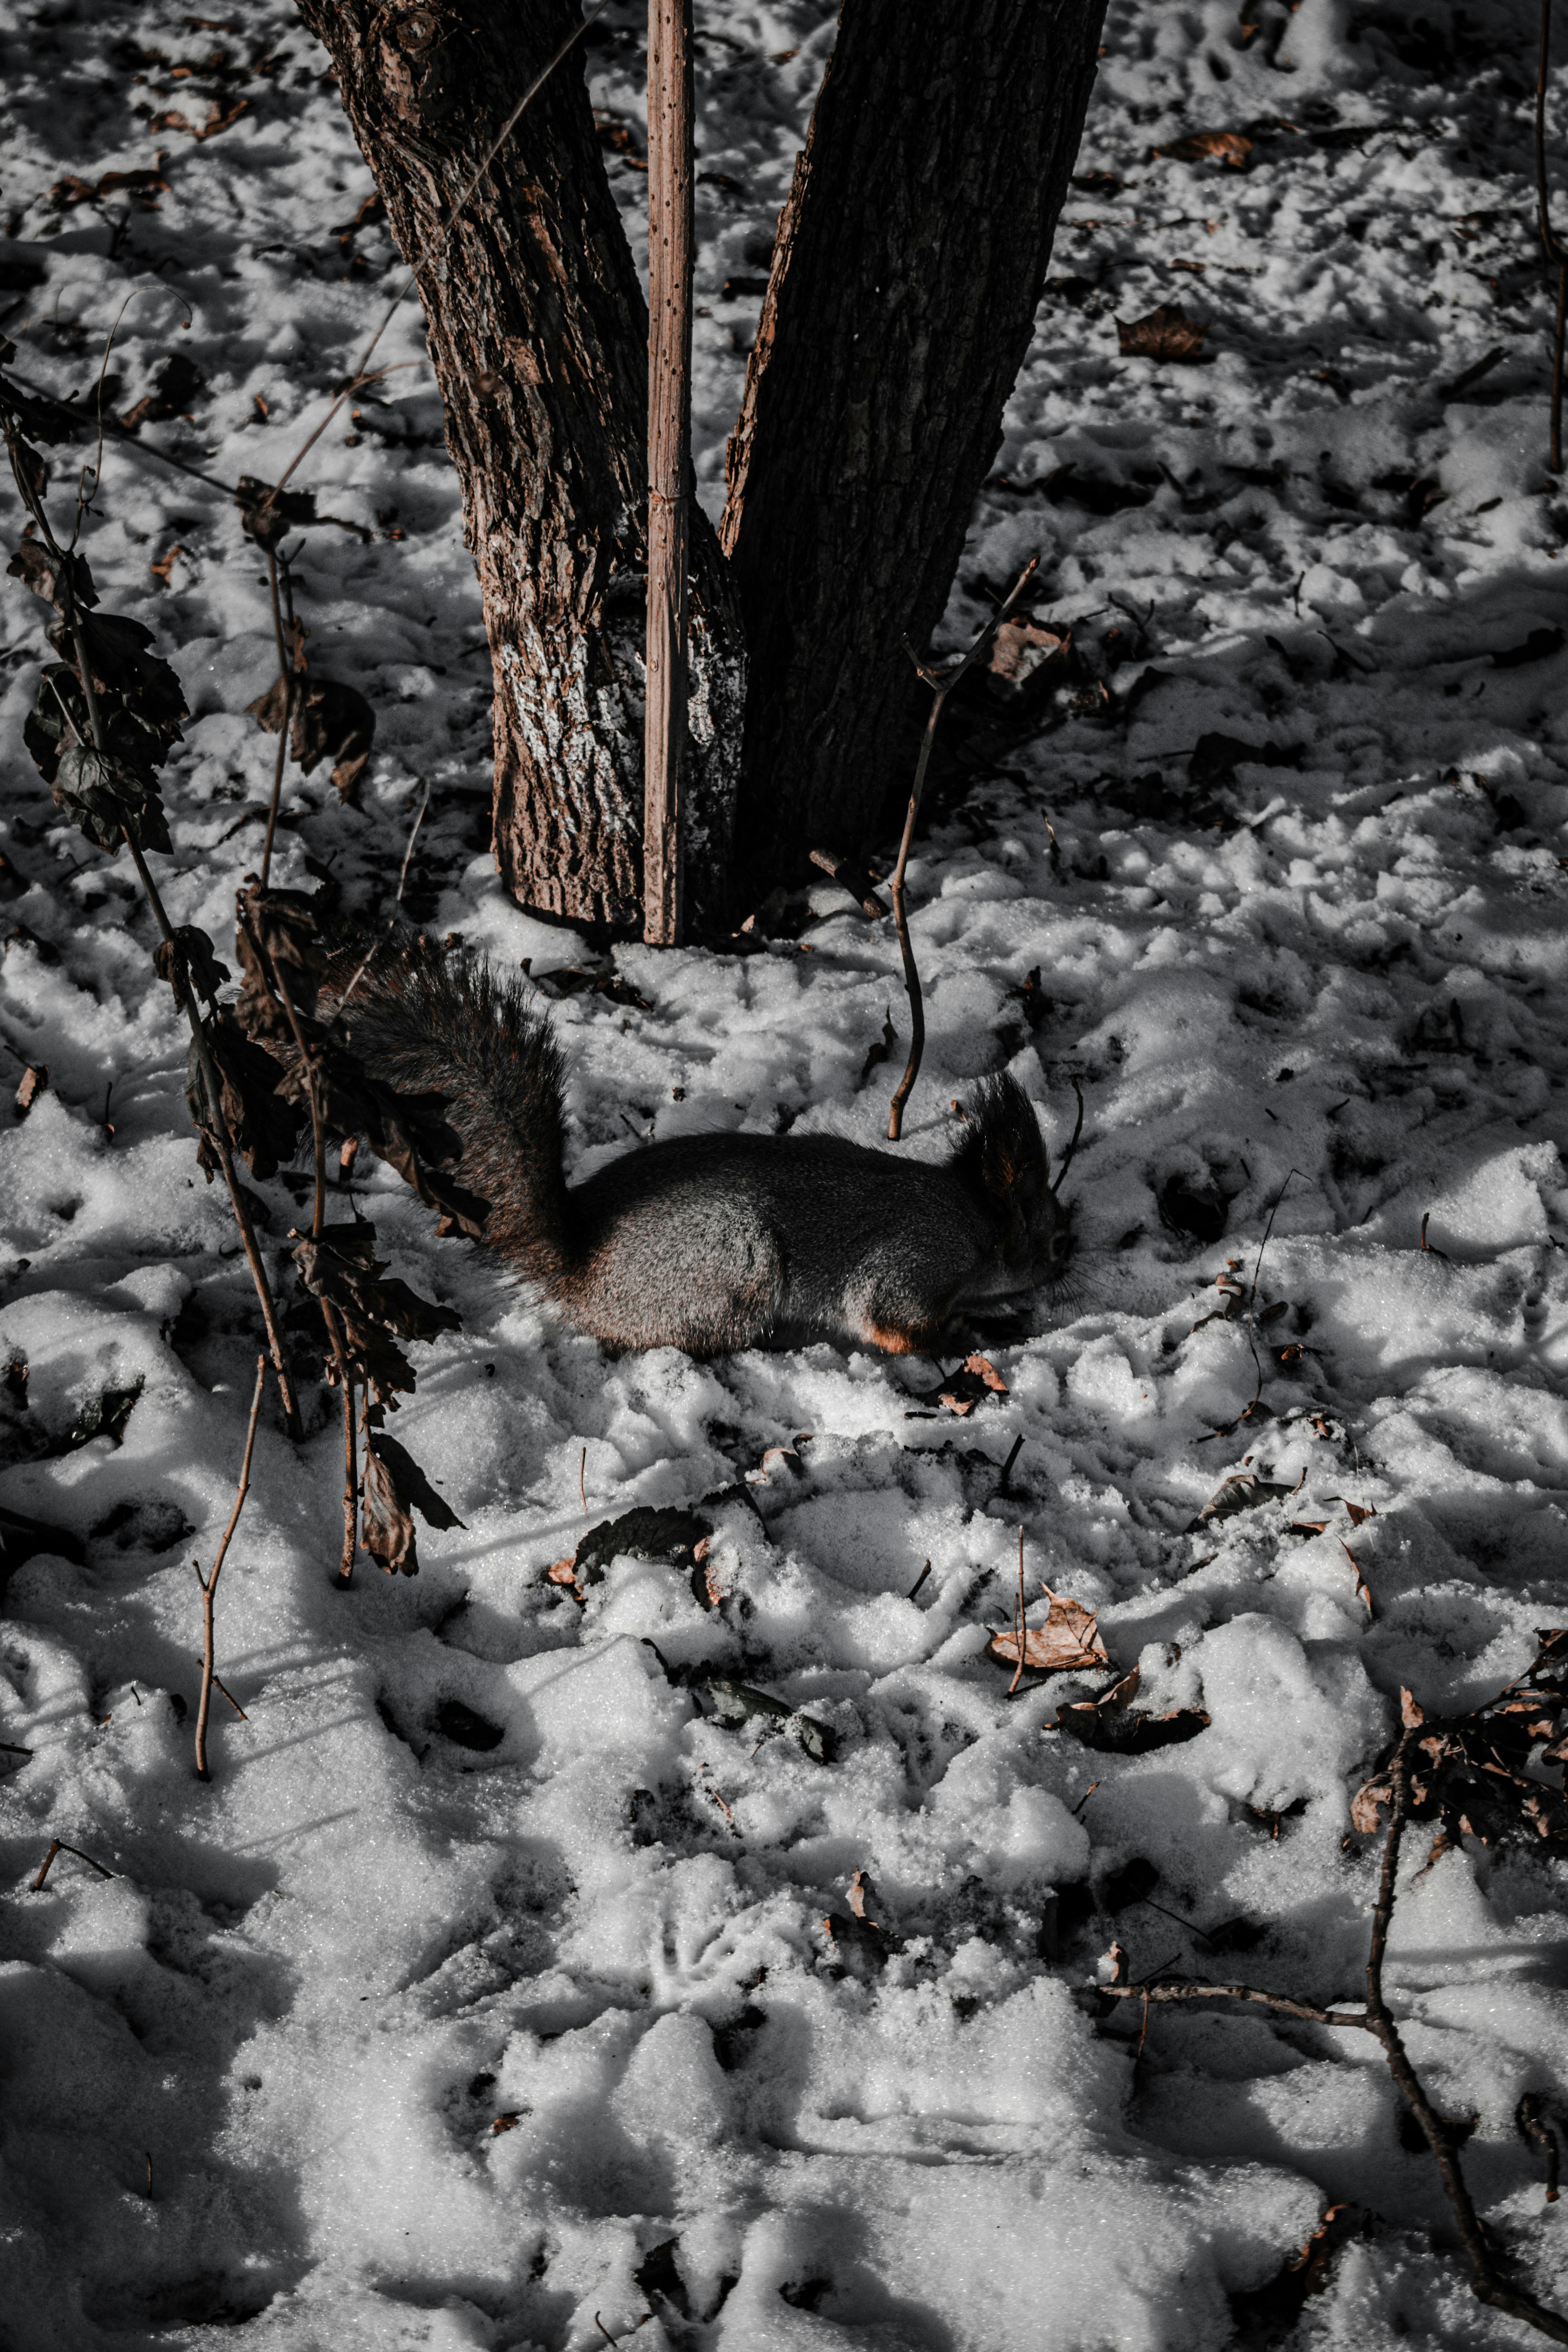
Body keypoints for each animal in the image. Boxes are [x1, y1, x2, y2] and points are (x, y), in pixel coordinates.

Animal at [320, 927, 1081, 1355]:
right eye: (1054, 1239)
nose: (1071, 1264)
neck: (976, 1221)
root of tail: (580, 1270)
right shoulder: (912, 1264)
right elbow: (892, 1323)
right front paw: (966, 1335)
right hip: (729, 1263)